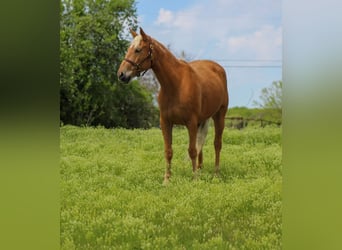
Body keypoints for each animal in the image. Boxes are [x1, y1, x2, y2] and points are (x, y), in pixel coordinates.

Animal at [116, 27, 228, 184]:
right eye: (128, 49)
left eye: (138, 50)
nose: (121, 74)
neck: (176, 84)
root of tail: (217, 68)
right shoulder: (166, 122)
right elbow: (168, 151)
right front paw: (167, 180)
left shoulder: (191, 123)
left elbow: (192, 150)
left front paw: (194, 179)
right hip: (202, 120)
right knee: (201, 145)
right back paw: (200, 170)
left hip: (219, 116)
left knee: (217, 144)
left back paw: (216, 175)